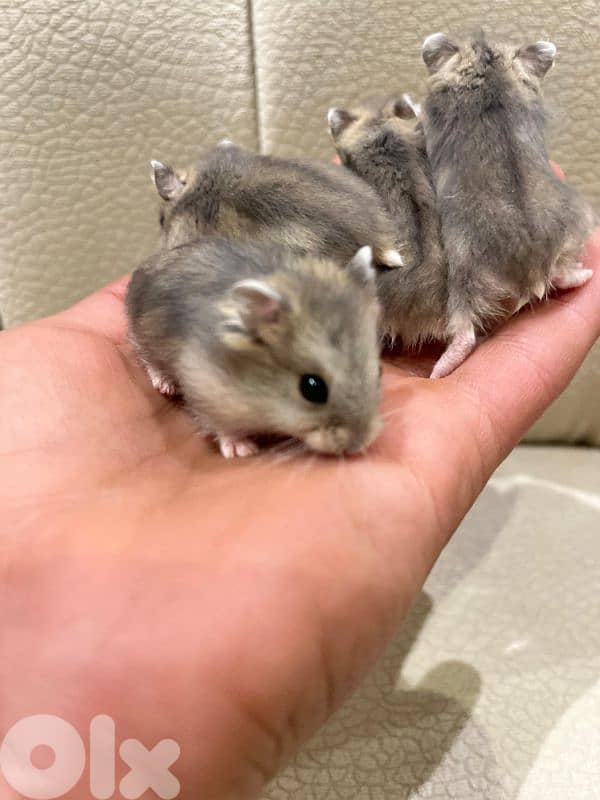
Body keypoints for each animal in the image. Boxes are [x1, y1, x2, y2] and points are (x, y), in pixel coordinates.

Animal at [126, 236, 382, 458]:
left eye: (379, 371)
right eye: (312, 388)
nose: (359, 445)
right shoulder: (208, 388)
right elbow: (223, 427)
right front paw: (243, 450)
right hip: (144, 334)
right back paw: (165, 385)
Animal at [421, 32, 594, 377]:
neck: (488, 70)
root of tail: (533, 267)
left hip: (463, 271)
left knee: (464, 331)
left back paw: (437, 371)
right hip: (579, 220)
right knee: (562, 273)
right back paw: (586, 276)